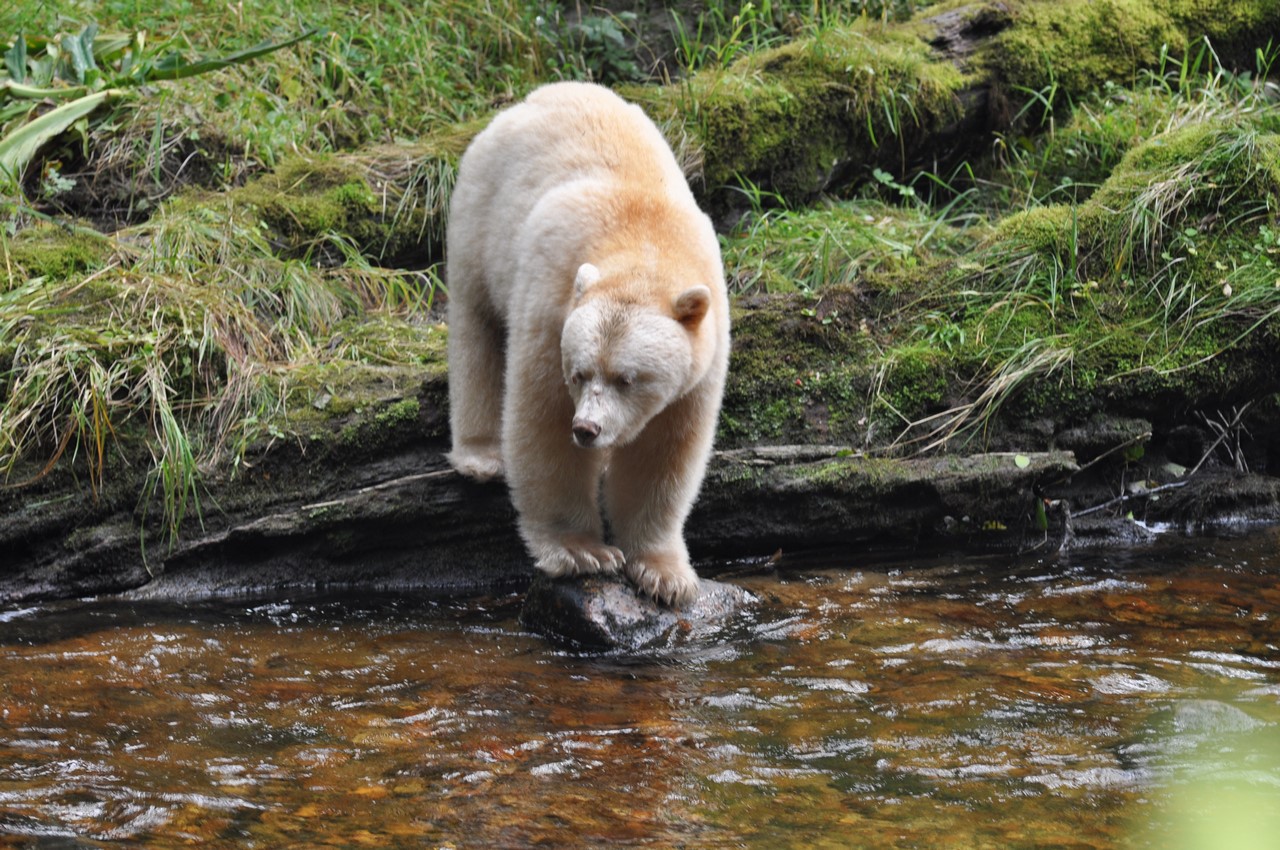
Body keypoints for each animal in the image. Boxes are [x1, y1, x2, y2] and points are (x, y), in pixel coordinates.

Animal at [445, 83, 732, 606]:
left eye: (628, 379)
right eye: (580, 374)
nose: (588, 428)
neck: (643, 239)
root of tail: (538, 95)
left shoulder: (706, 342)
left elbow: (665, 449)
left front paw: (665, 574)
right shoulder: (550, 301)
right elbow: (542, 421)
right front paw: (582, 552)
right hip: (480, 213)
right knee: (476, 328)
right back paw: (481, 457)